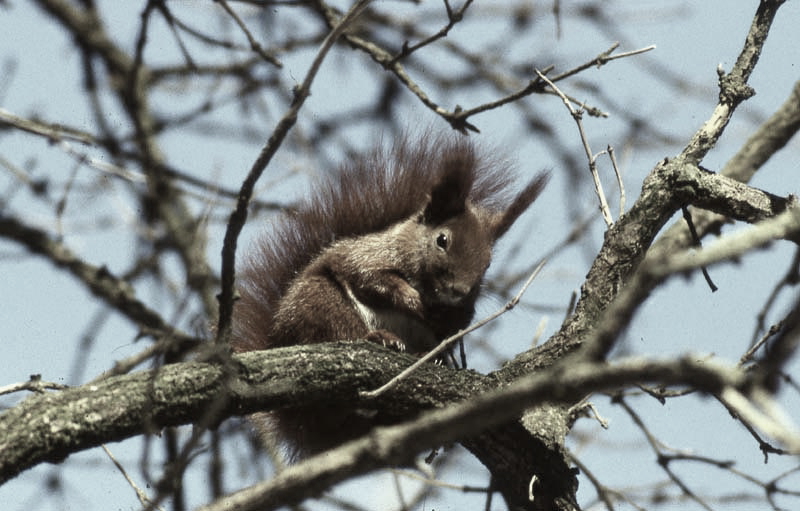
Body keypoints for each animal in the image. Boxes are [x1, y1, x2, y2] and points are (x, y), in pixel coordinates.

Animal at [228, 134, 548, 458]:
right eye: (442, 240)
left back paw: (431, 360)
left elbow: (458, 323)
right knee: (341, 333)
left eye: (489, 263)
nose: (457, 291)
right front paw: (414, 302)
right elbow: (374, 280)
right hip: (321, 304)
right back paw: (380, 338)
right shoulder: (366, 257)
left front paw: (444, 323)